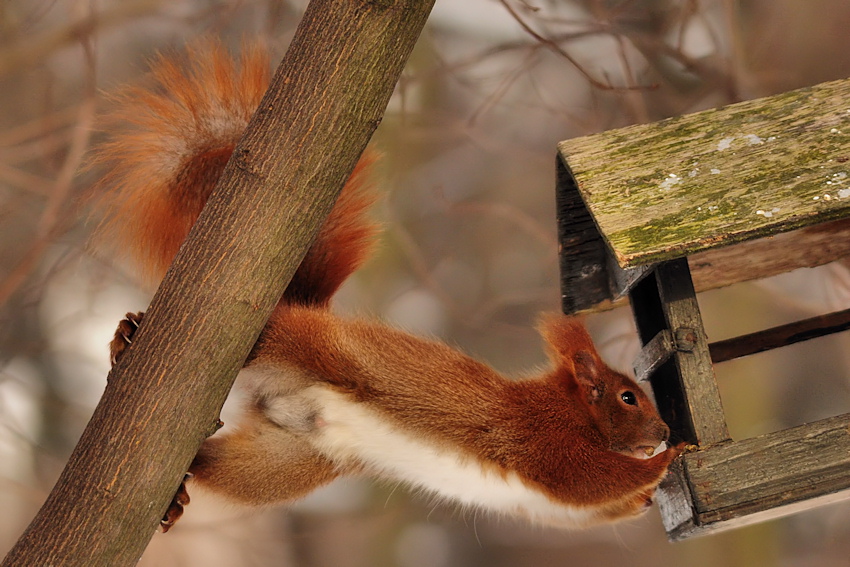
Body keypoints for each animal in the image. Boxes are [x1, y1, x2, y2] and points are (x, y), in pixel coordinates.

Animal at [96, 40, 680, 532]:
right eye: (628, 396)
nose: (665, 433)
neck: (572, 411)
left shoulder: (547, 498)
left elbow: (587, 510)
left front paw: (652, 491)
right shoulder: (538, 437)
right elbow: (585, 479)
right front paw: (670, 461)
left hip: (287, 463)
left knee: (217, 466)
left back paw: (176, 490)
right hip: (302, 346)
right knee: (269, 336)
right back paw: (128, 335)